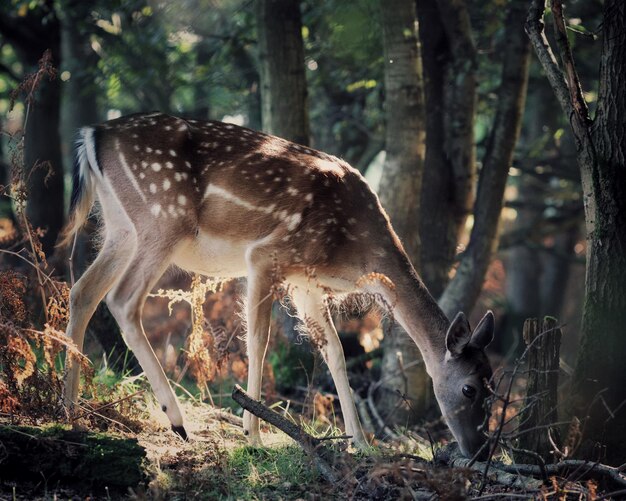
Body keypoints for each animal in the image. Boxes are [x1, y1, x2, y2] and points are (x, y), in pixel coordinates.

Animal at [61, 112, 494, 458]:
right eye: (470, 388)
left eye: (494, 388)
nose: (480, 451)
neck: (355, 251)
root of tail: (91, 133)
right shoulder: (266, 255)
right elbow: (258, 341)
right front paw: (252, 434)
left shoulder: (306, 283)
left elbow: (335, 353)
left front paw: (362, 443)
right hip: (163, 217)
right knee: (121, 300)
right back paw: (177, 420)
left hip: (121, 227)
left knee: (82, 292)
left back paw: (68, 408)